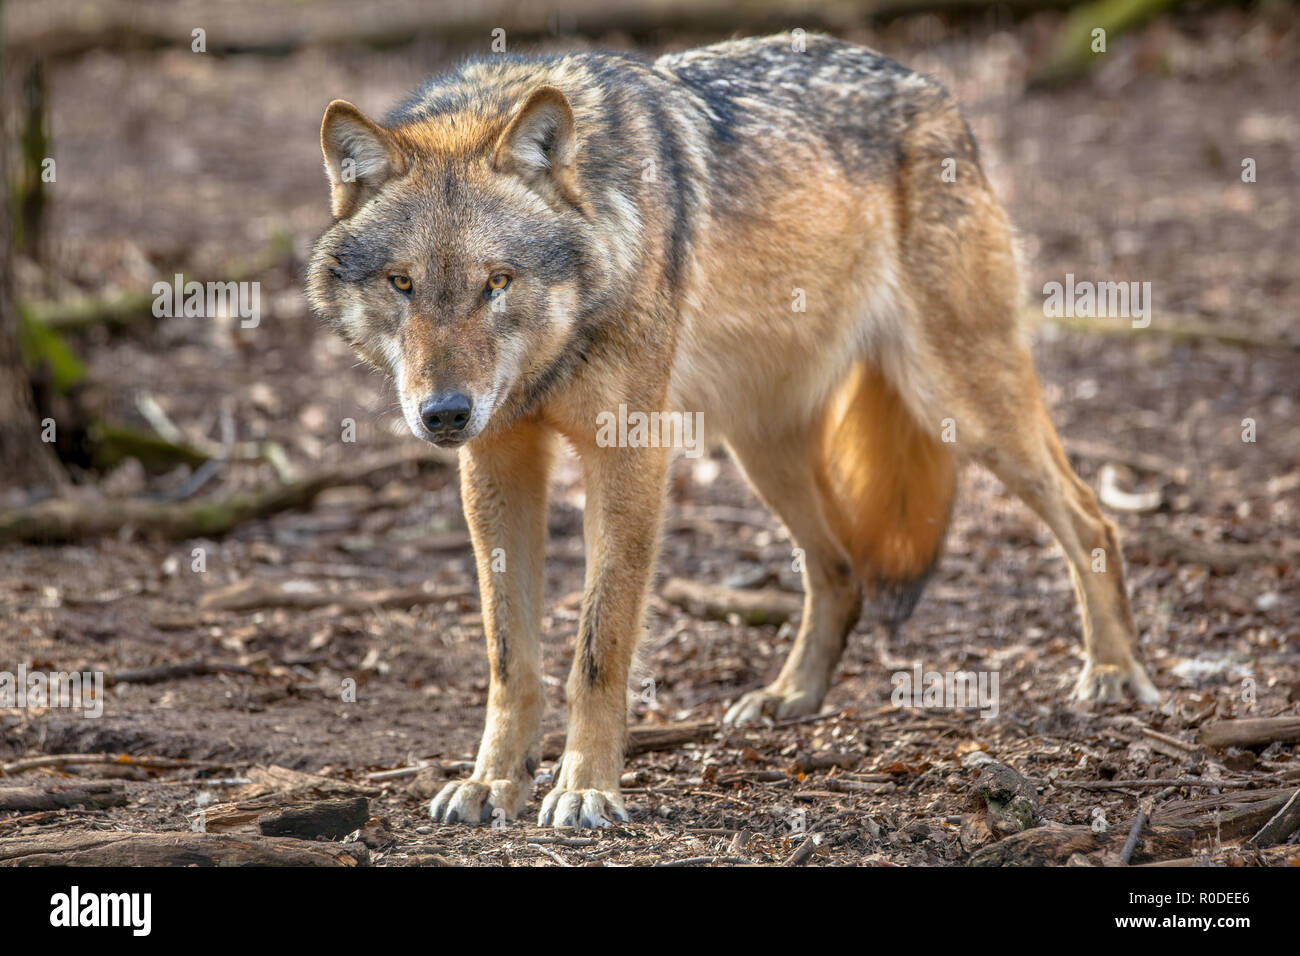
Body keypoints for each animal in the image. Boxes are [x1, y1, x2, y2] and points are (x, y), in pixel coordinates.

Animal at [307, 33, 1160, 828]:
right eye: (404, 284)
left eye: (498, 283)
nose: (444, 412)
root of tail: (933, 89)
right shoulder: (496, 463)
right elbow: (509, 656)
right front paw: (494, 782)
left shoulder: (629, 456)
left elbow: (598, 649)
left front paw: (586, 787)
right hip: (764, 452)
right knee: (840, 571)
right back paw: (791, 696)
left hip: (963, 407)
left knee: (1092, 518)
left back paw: (1115, 673)